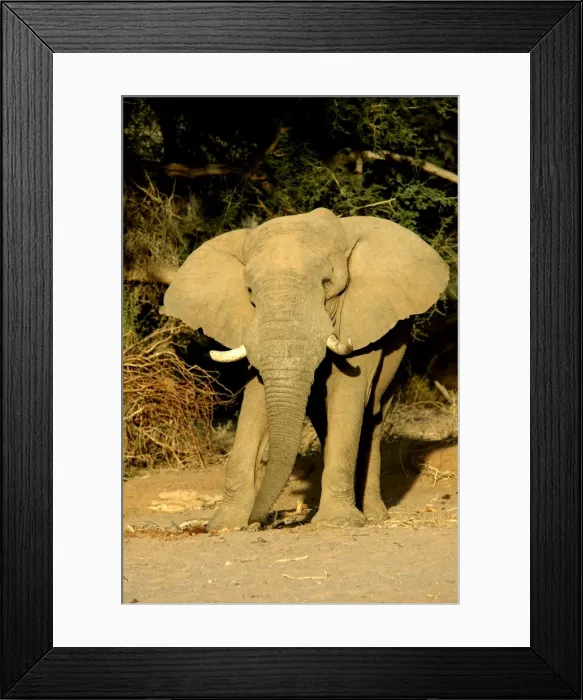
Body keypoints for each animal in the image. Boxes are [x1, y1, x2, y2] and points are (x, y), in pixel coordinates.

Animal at [161, 207, 449, 529]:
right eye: (250, 292)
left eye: (326, 283)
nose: (260, 520)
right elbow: (256, 401)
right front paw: (226, 525)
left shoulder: (360, 319)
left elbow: (349, 395)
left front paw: (338, 522)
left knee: (373, 414)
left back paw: (373, 515)